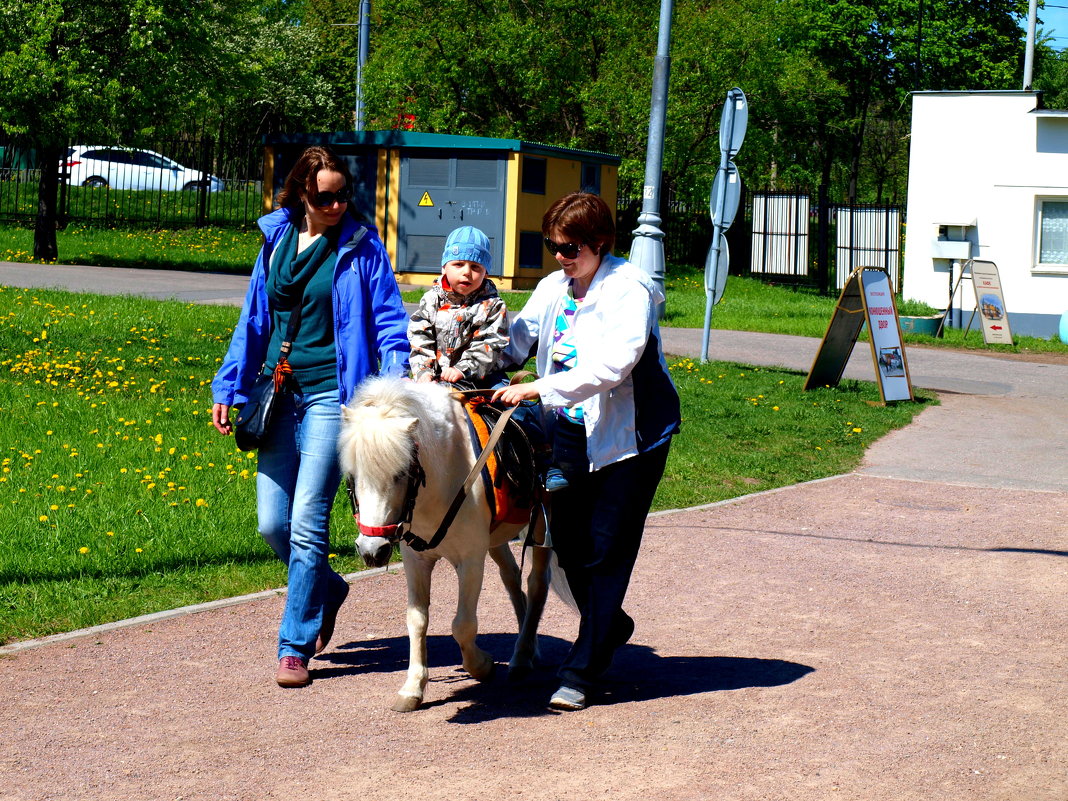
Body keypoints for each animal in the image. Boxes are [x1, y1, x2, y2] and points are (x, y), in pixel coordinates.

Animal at [339, 378, 559, 713]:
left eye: (401, 473)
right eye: (352, 476)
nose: (372, 551)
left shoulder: (470, 560)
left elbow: (463, 624)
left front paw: (482, 666)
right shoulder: (416, 561)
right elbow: (416, 620)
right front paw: (412, 687)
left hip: (540, 528)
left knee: (536, 585)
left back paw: (521, 657)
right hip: (496, 540)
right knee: (511, 577)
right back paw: (529, 647)